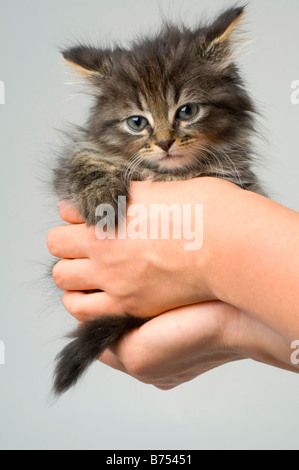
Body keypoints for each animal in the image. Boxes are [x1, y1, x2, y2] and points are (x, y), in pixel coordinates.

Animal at [52, 5, 266, 396]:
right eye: (137, 122)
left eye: (187, 111)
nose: (165, 142)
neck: (169, 173)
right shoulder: (81, 156)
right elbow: (86, 164)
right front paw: (102, 201)